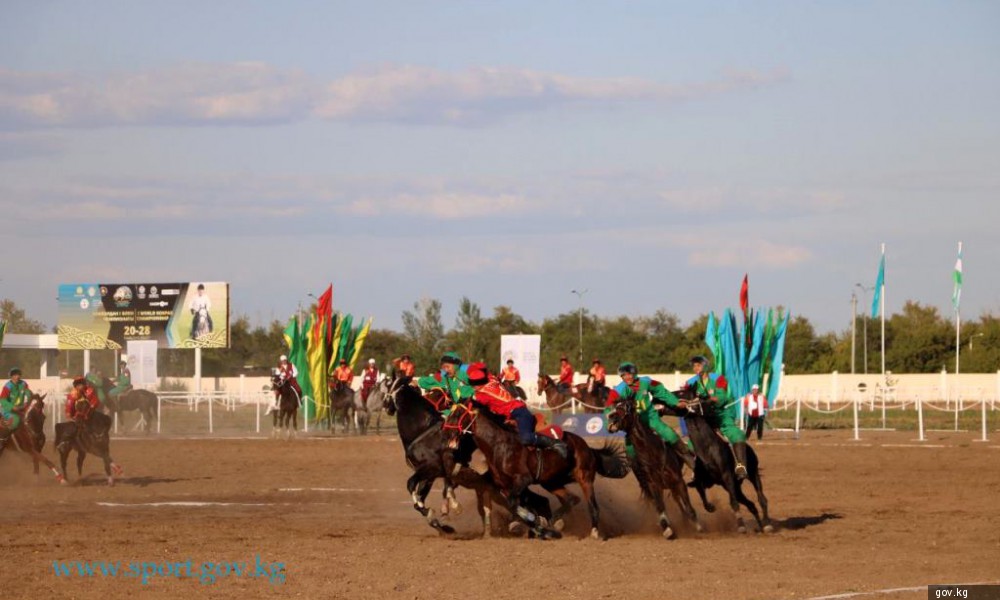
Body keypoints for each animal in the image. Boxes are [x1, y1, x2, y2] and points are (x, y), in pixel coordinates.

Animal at [444, 400, 628, 540]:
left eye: (457, 414)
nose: (446, 431)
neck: (499, 445)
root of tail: (588, 448)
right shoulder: (504, 486)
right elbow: (514, 504)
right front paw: (534, 524)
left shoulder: (522, 480)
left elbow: (514, 503)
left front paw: (532, 521)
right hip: (552, 482)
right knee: (571, 499)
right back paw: (553, 523)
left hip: (584, 478)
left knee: (593, 507)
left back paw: (592, 533)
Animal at [664, 390, 772, 536]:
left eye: (680, 392)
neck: (707, 448)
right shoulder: (701, 481)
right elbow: (703, 498)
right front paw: (711, 507)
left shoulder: (727, 476)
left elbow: (733, 503)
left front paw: (741, 526)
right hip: (736, 487)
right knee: (751, 505)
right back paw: (760, 527)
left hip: (752, 474)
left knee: (761, 499)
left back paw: (767, 524)